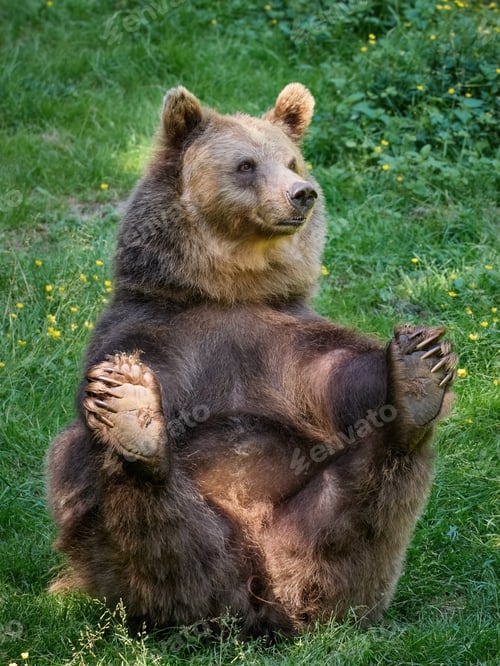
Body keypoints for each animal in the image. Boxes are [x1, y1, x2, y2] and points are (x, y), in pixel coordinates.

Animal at [46, 83, 457, 639]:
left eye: (292, 161)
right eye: (246, 164)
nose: (302, 193)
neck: (229, 290)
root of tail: (255, 602)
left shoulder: (284, 340)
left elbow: (341, 376)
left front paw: (420, 361)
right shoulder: (161, 330)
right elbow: (124, 385)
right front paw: (128, 397)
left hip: (307, 526)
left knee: (365, 507)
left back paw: (412, 409)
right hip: (134, 547)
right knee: (135, 520)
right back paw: (140, 449)